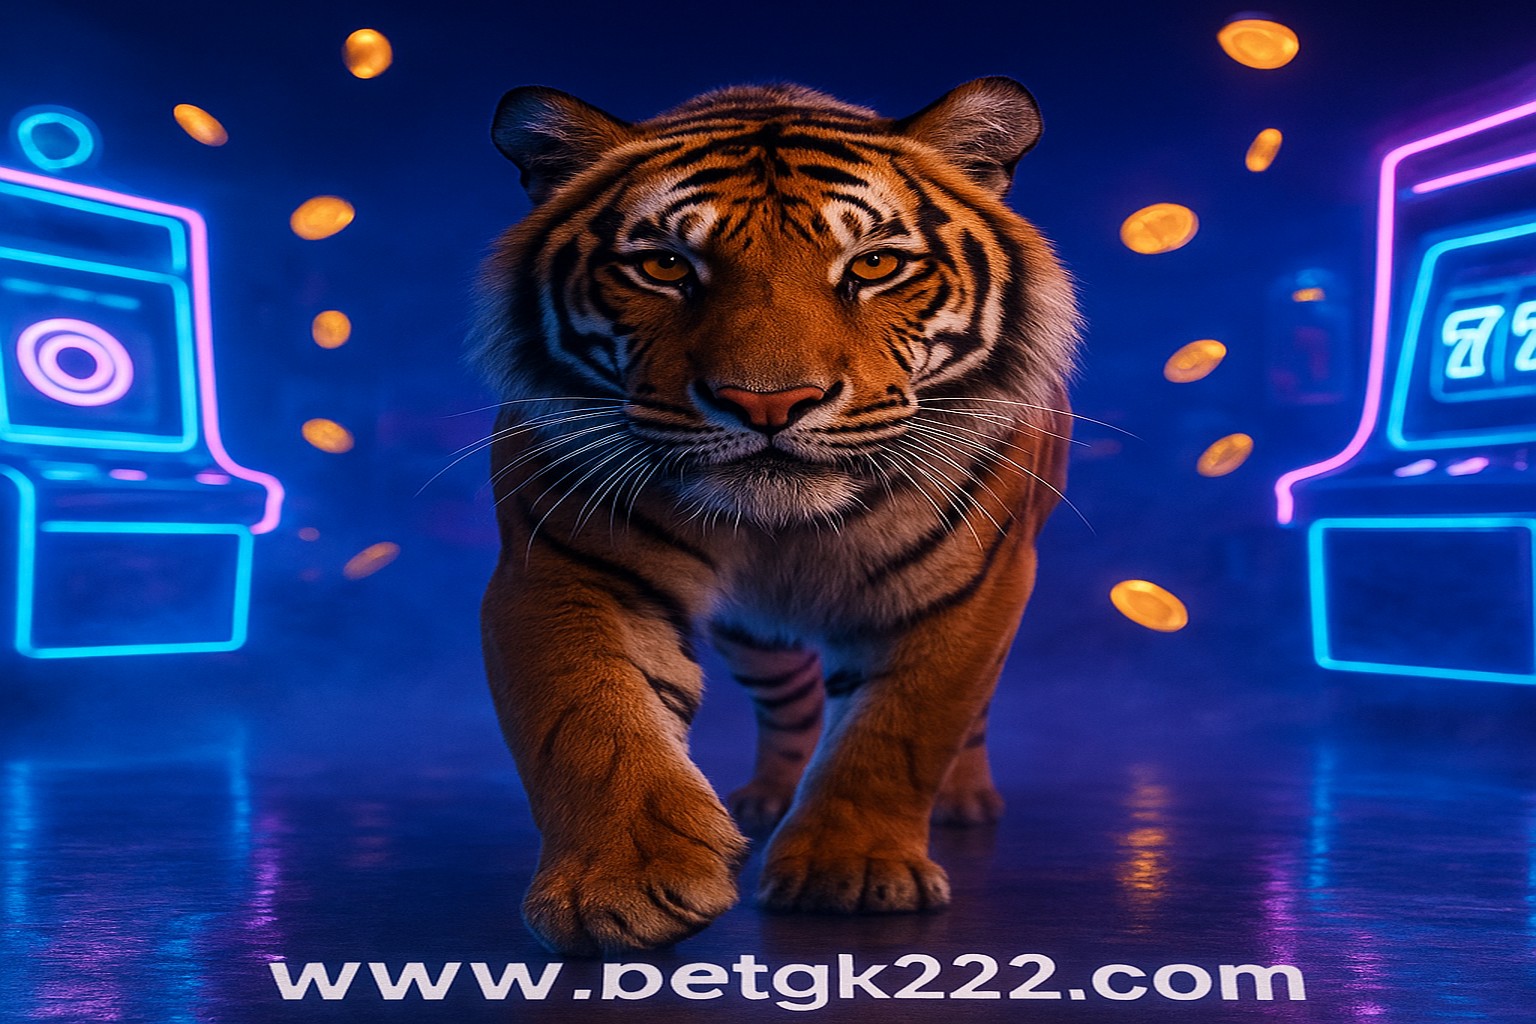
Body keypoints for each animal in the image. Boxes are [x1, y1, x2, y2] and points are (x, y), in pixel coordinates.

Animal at [472, 76, 1079, 957]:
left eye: (874, 264)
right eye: (665, 265)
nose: (768, 403)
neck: (783, 531)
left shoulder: (971, 584)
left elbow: (903, 726)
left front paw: (850, 871)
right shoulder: (563, 566)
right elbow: (589, 719)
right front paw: (621, 885)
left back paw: (965, 800)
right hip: (752, 636)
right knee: (789, 700)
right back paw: (764, 797)